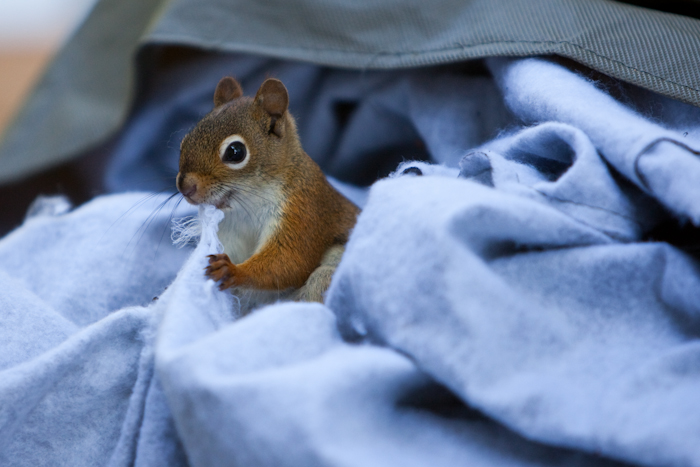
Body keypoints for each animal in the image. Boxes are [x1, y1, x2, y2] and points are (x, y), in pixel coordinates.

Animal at [176, 76, 360, 312]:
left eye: (235, 152)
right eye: (184, 142)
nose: (185, 187)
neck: (248, 203)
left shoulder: (304, 211)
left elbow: (290, 260)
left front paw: (233, 270)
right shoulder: (230, 234)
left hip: (327, 274)